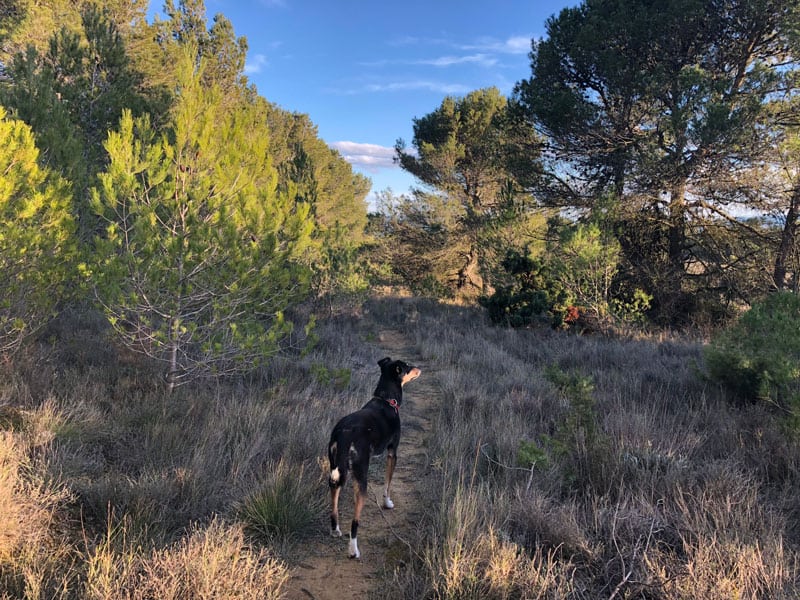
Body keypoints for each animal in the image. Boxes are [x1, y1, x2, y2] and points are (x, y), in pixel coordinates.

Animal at [328, 356, 422, 556]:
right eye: (407, 367)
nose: (419, 368)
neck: (386, 400)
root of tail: (344, 434)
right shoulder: (392, 453)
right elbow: (387, 485)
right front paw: (387, 503)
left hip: (337, 471)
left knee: (334, 505)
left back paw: (335, 530)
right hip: (360, 478)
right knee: (354, 522)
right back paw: (353, 550)